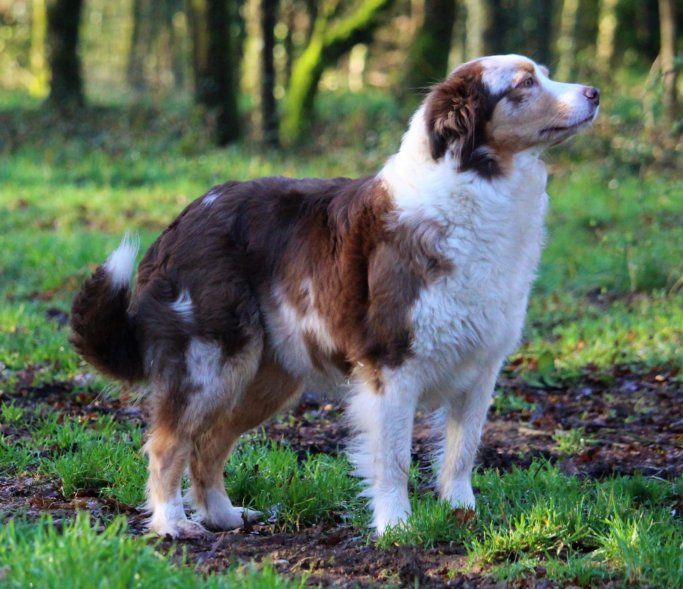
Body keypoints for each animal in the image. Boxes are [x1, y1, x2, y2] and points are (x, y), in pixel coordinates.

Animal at [69, 54, 600, 536]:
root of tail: (179, 223)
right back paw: (172, 523)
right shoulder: (392, 366)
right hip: (211, 361)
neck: (476, 185)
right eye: (525, 84)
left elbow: (461, 454)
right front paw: (396, 527)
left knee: (210, 442)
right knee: (169, 443)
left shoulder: (481, 366)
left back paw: (222, 515)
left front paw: (462, 514)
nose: (594, 92)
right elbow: (394, 461)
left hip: (265, 377)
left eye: (544, 74)